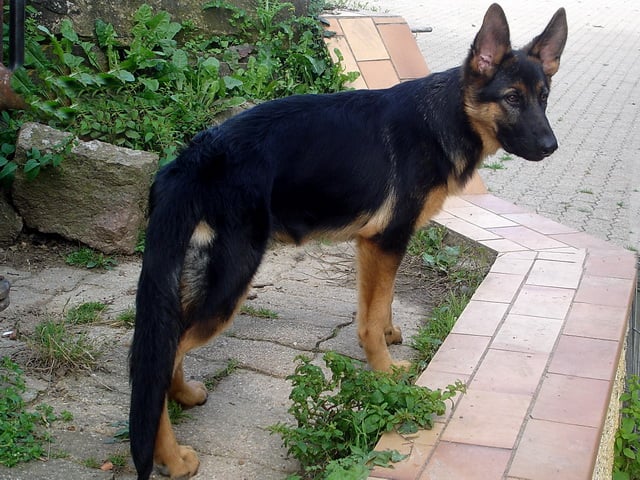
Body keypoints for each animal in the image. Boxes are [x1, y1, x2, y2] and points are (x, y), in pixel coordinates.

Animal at [129, 4, 567, 478]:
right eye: (512, 98)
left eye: (543, 97)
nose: (551, 146)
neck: (444, 118)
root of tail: (189, 162)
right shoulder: (386, 241)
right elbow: (370, 319)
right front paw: (385, 371)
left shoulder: (373, 246)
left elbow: (380, 303)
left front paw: (390, 335)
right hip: (230, 282)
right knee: (157, 361)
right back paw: (171, 457)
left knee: (164, 353)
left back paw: (184, 396)